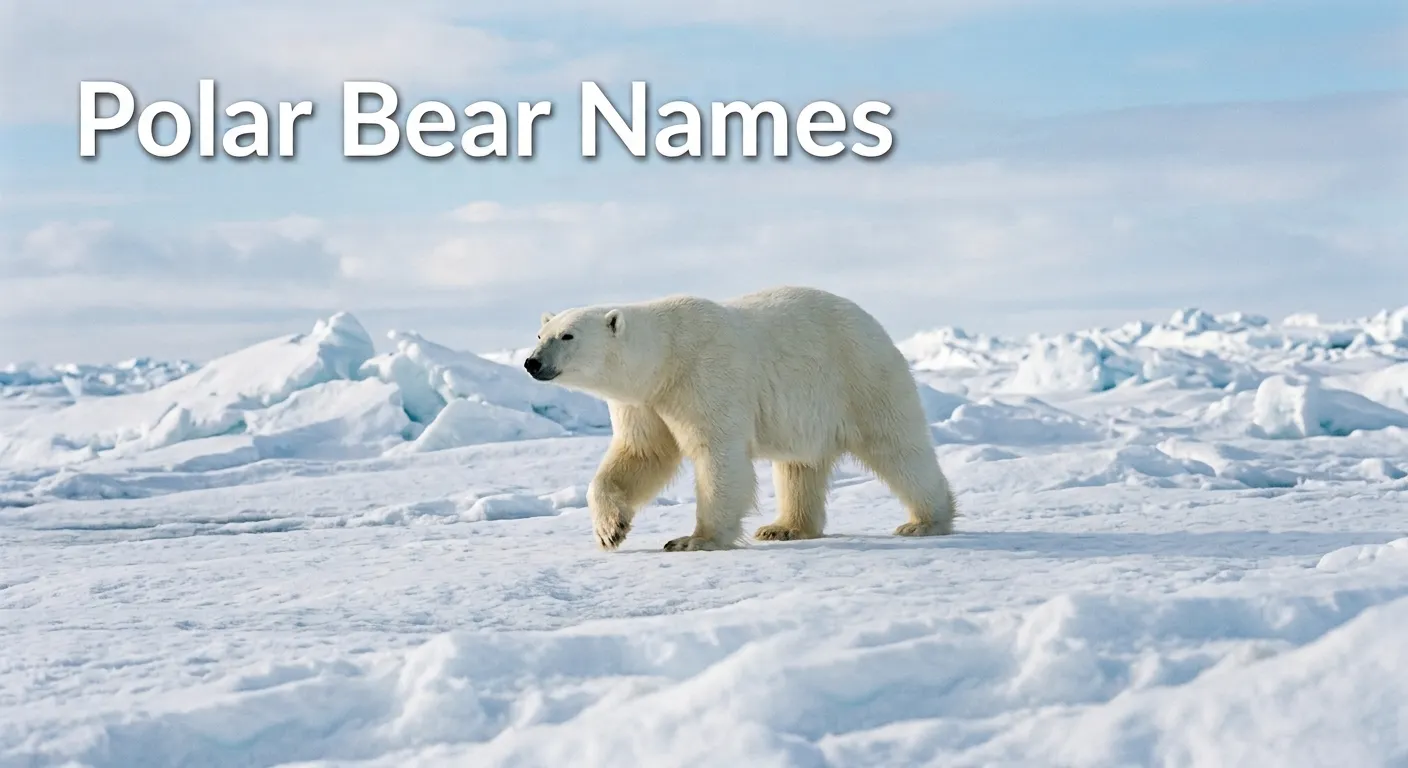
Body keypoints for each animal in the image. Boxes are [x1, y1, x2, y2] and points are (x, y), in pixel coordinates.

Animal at [523, 285, 958, 552]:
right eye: (541, 335)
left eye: (568, 336)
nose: (532, 363)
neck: (665, 356)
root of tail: (876, 326)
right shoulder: (645, 401)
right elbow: (641, 454)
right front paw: (609, 530)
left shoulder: (703, 376)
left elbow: (717, 454)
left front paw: (693, 540)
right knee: (800, 466)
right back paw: (784, 527)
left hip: (861, 378)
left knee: (897, 448)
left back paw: (925, 521)